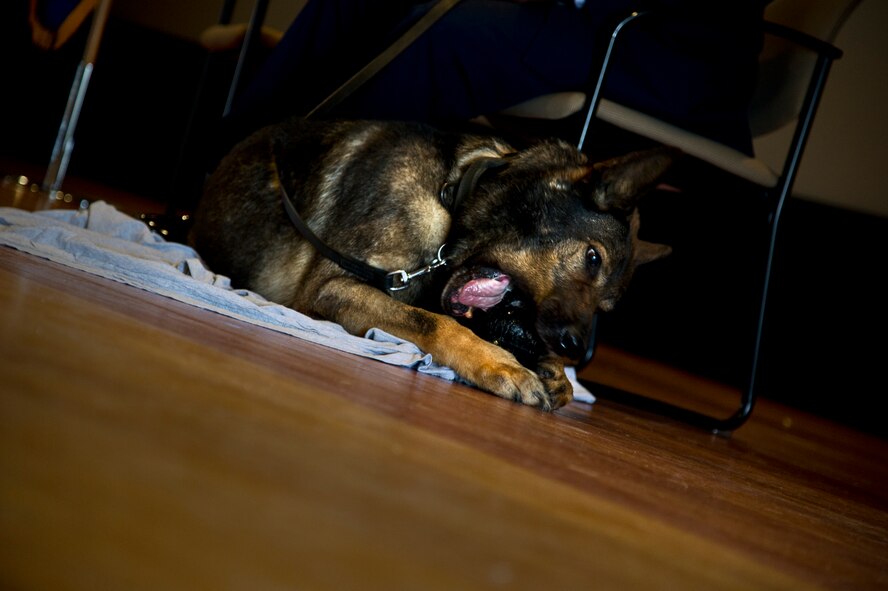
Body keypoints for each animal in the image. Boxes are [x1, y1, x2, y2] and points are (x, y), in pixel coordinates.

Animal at [189, 116, 672, 412]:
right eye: (592, 258)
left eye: (606, 307)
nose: (575, 348)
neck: (452, 194)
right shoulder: (331, 288)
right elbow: (435, 323)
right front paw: (499, 364)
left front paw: (552, 370)